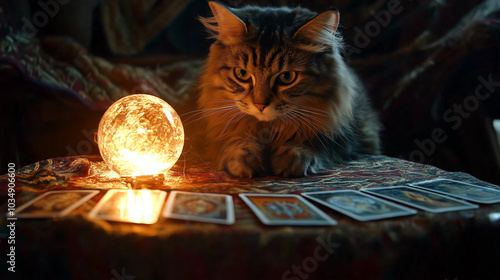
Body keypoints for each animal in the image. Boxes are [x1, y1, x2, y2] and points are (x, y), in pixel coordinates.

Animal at [185, 0, 382, 177]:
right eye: (242, 73)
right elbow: (235, 141)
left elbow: (314, 141)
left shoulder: (348, 138)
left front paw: (294, 157)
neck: (269, 129)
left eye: (287, 77)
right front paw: (242, 159)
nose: (260, 105)